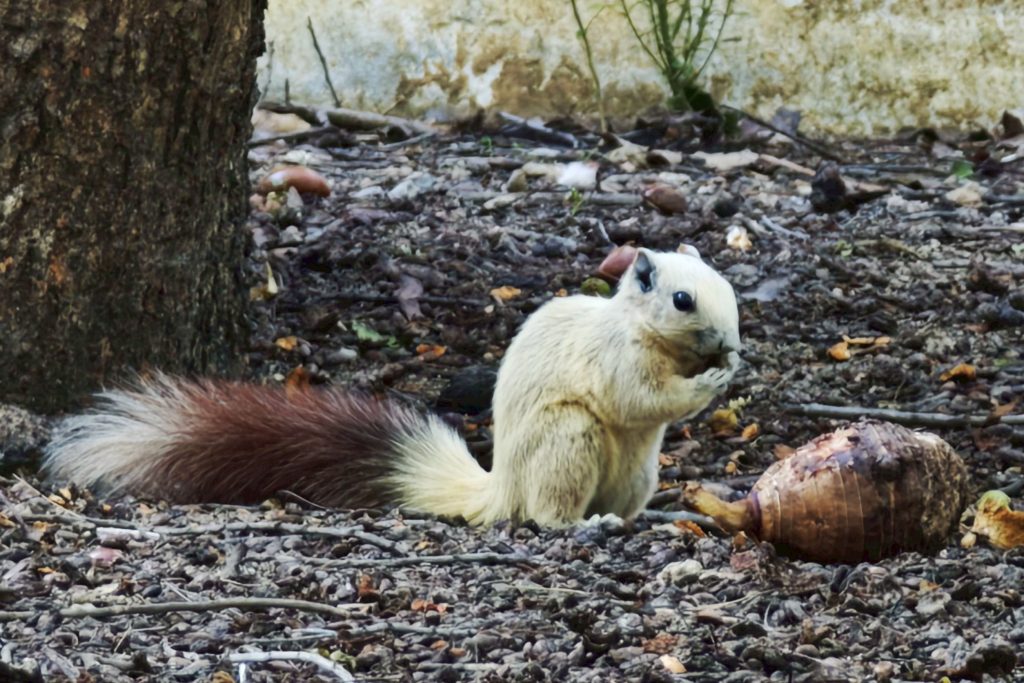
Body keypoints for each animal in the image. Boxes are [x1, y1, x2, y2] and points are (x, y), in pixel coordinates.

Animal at [43, 248, 740, 527]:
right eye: (682, 299)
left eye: (728, 288)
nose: (732, 342)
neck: (646, 334)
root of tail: (501, 488)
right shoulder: (615, 360)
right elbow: (642, 398)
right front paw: (713, 380)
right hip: (568, 440)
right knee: (544, 513)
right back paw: (581, 525)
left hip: (637, 470)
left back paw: (655, 516)